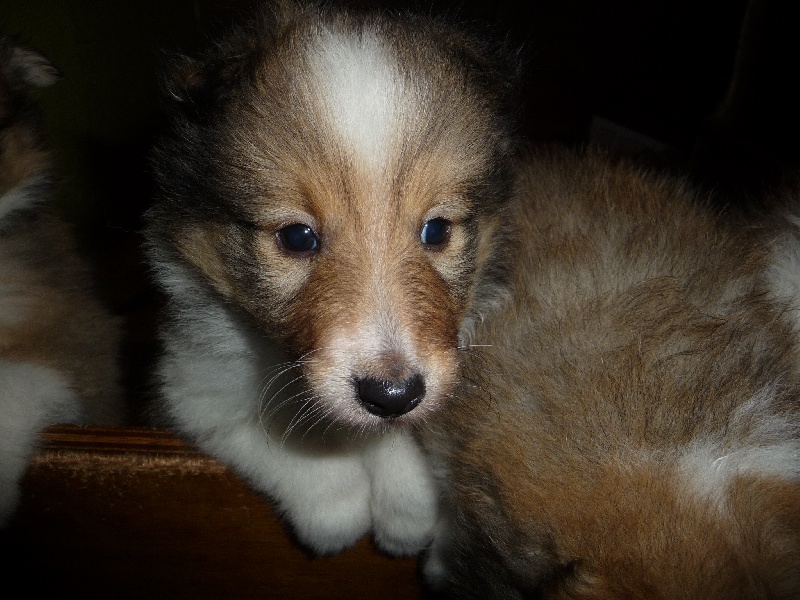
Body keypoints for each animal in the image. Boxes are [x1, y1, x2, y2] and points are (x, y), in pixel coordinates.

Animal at [145, 1, 519, 556]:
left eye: (437, 229)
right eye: (297, 237)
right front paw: (336, 511)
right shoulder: (190, 388)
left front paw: (409, 508)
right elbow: (274, 439)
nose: (391, 395)